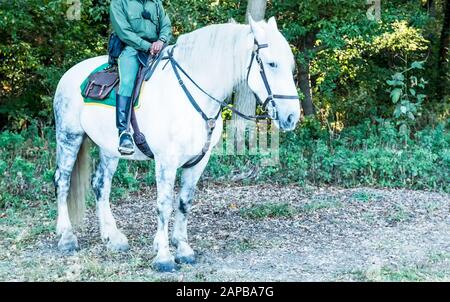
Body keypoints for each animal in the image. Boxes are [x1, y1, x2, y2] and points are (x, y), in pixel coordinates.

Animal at [52, 15, 300, 272]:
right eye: (271, 64)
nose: (292, 116)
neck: (190, 94)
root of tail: (70, 74)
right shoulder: (166, 161)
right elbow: (164, 204)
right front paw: (163, 256)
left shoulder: (198, 161)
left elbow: (184, 203)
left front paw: (183, 249)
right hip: (69, 137)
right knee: (62, 181)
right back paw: (67, 237)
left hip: (109, 149)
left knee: (101, 184)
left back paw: (113, 237)